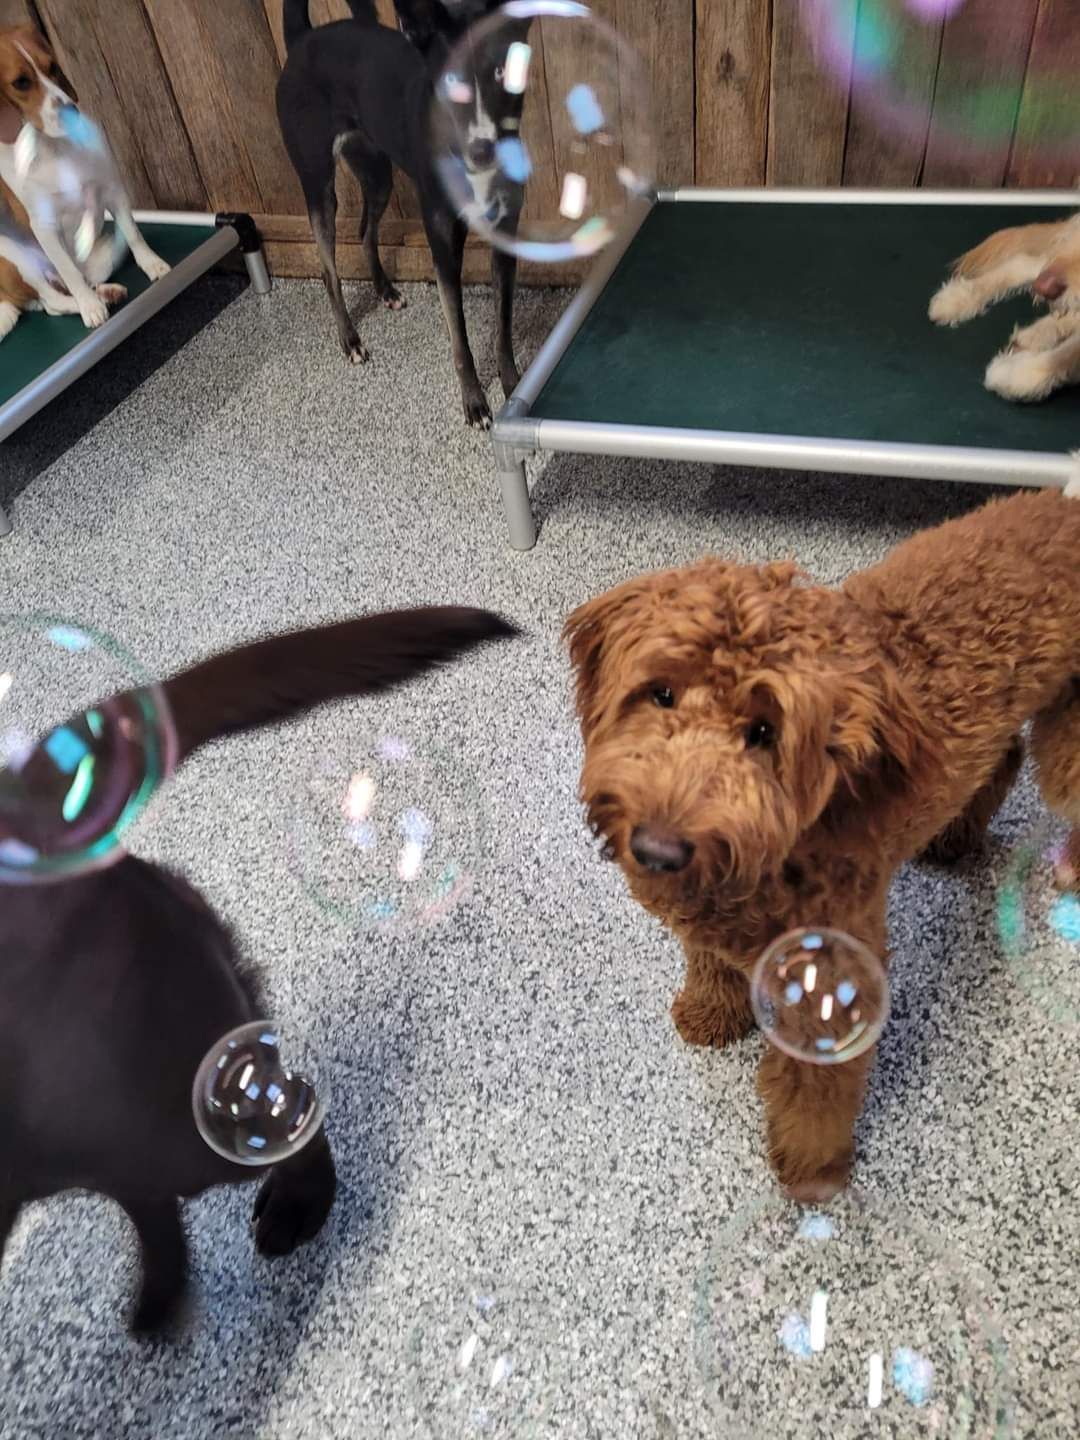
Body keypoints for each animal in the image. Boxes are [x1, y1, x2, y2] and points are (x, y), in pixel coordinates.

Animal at [0, 24, 169, 339]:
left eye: (52, 67)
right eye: (21, 83)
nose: (70, 110)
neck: (54, 148)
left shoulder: (113, 188)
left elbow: (134, 234)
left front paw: (153, 264)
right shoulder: (44, 226)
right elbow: (69, 272)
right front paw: (90, 307)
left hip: (105, 251)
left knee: (77, 283)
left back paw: (105, 292)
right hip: (12, 253)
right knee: (54, 300)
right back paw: (91, 300)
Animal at [280, 1, 527, 426]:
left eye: (501, 70)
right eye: (451, 80)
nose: (483, 150)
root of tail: (302, 38)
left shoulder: (505, 237)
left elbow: (503, 327)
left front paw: (513, 387)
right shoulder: (443, 247)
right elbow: (460, 338)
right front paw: (474, 402)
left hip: (377, 174)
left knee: (365, 230)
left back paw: (384, 289)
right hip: (319, 185)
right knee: (329, 269)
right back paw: (350, 340)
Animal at [567, 489, 1080, 1198]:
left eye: (764, 733)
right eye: (660, 693)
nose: (657, 851)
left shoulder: (834, 976)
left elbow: (815, 1090)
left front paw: (813, 1172)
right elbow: (708, 962)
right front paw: (711, 1012)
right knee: (1002, 757)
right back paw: (954, 838)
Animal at [927, 210, 1080, 400]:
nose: (1043, 288)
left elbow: (1070, 353)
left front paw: (1017, 372)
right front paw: (1016, 372)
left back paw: (1035, 335)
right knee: (1022, 262)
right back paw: (959, 297)